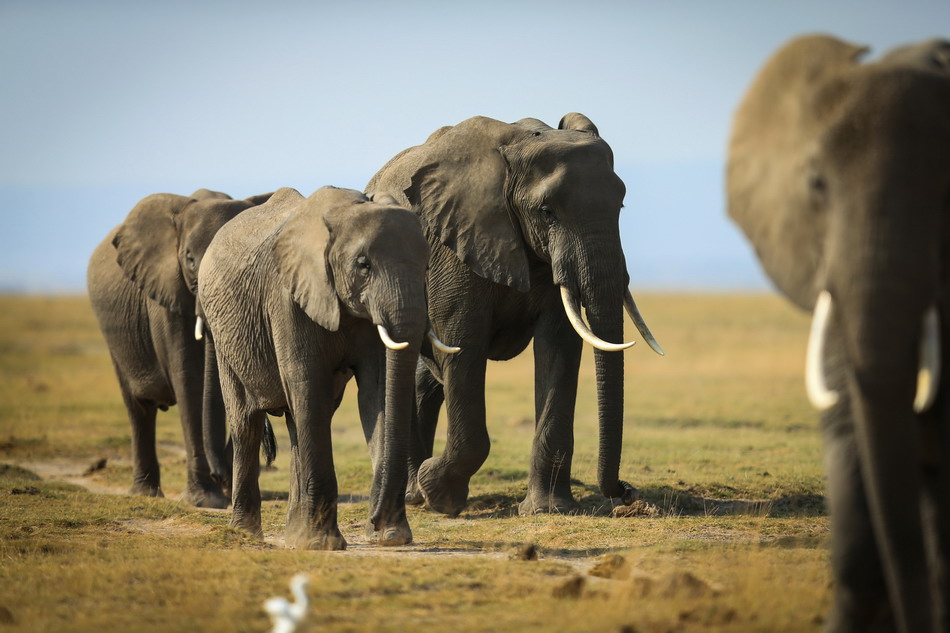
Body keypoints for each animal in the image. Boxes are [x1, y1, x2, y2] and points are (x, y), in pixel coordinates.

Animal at [88, 185, 274, 506]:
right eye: (189, 259)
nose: (220, 476)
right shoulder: (166, 291)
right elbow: (189, 378)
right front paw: (206, 501)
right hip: (115, 338)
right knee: (138, 408)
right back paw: (145, 493)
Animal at [196, 184, 454, 548]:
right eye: (363, 265)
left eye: (428, 265)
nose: (373, 521)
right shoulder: (287, 297)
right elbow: (307, 383)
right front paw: (324, 544)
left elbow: (376, 392)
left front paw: (391, 536)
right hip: (223, 336)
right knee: (247, 421)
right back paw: (247, 532)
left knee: (297, 423)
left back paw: (294, 535)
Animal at [368, 115, 664, 520]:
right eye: (547, 213)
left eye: (620, 205)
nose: (627, 493)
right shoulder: (455, 246)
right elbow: (463, 342)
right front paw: (440, 495)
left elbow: (559, 345)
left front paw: (549, 509)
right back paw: (416, 494)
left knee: (427, 378)